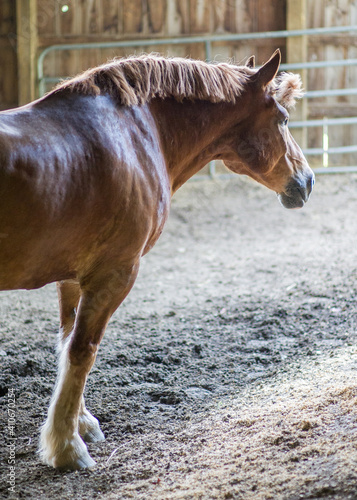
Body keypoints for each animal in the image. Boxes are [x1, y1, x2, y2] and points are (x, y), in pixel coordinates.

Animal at [0, 50, 312, 468]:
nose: (307, 181)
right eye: (283, 119)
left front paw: (80, 423)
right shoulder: (115, 272)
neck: (136, 136)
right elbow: (82, 351)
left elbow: (67, 345)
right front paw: (67, 446)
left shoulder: (70, 278)